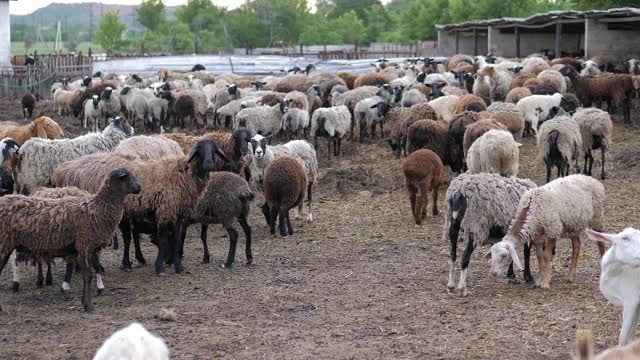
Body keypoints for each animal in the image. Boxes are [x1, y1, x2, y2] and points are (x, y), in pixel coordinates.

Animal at [0, 167, 141, 310]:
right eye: (125, 177)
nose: (139, 188)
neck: (96, 209)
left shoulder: (89, 248)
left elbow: (91, 271)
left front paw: (85, 301)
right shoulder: (84, 245)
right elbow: (88, 275)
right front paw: (88, 306)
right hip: (3, 244)